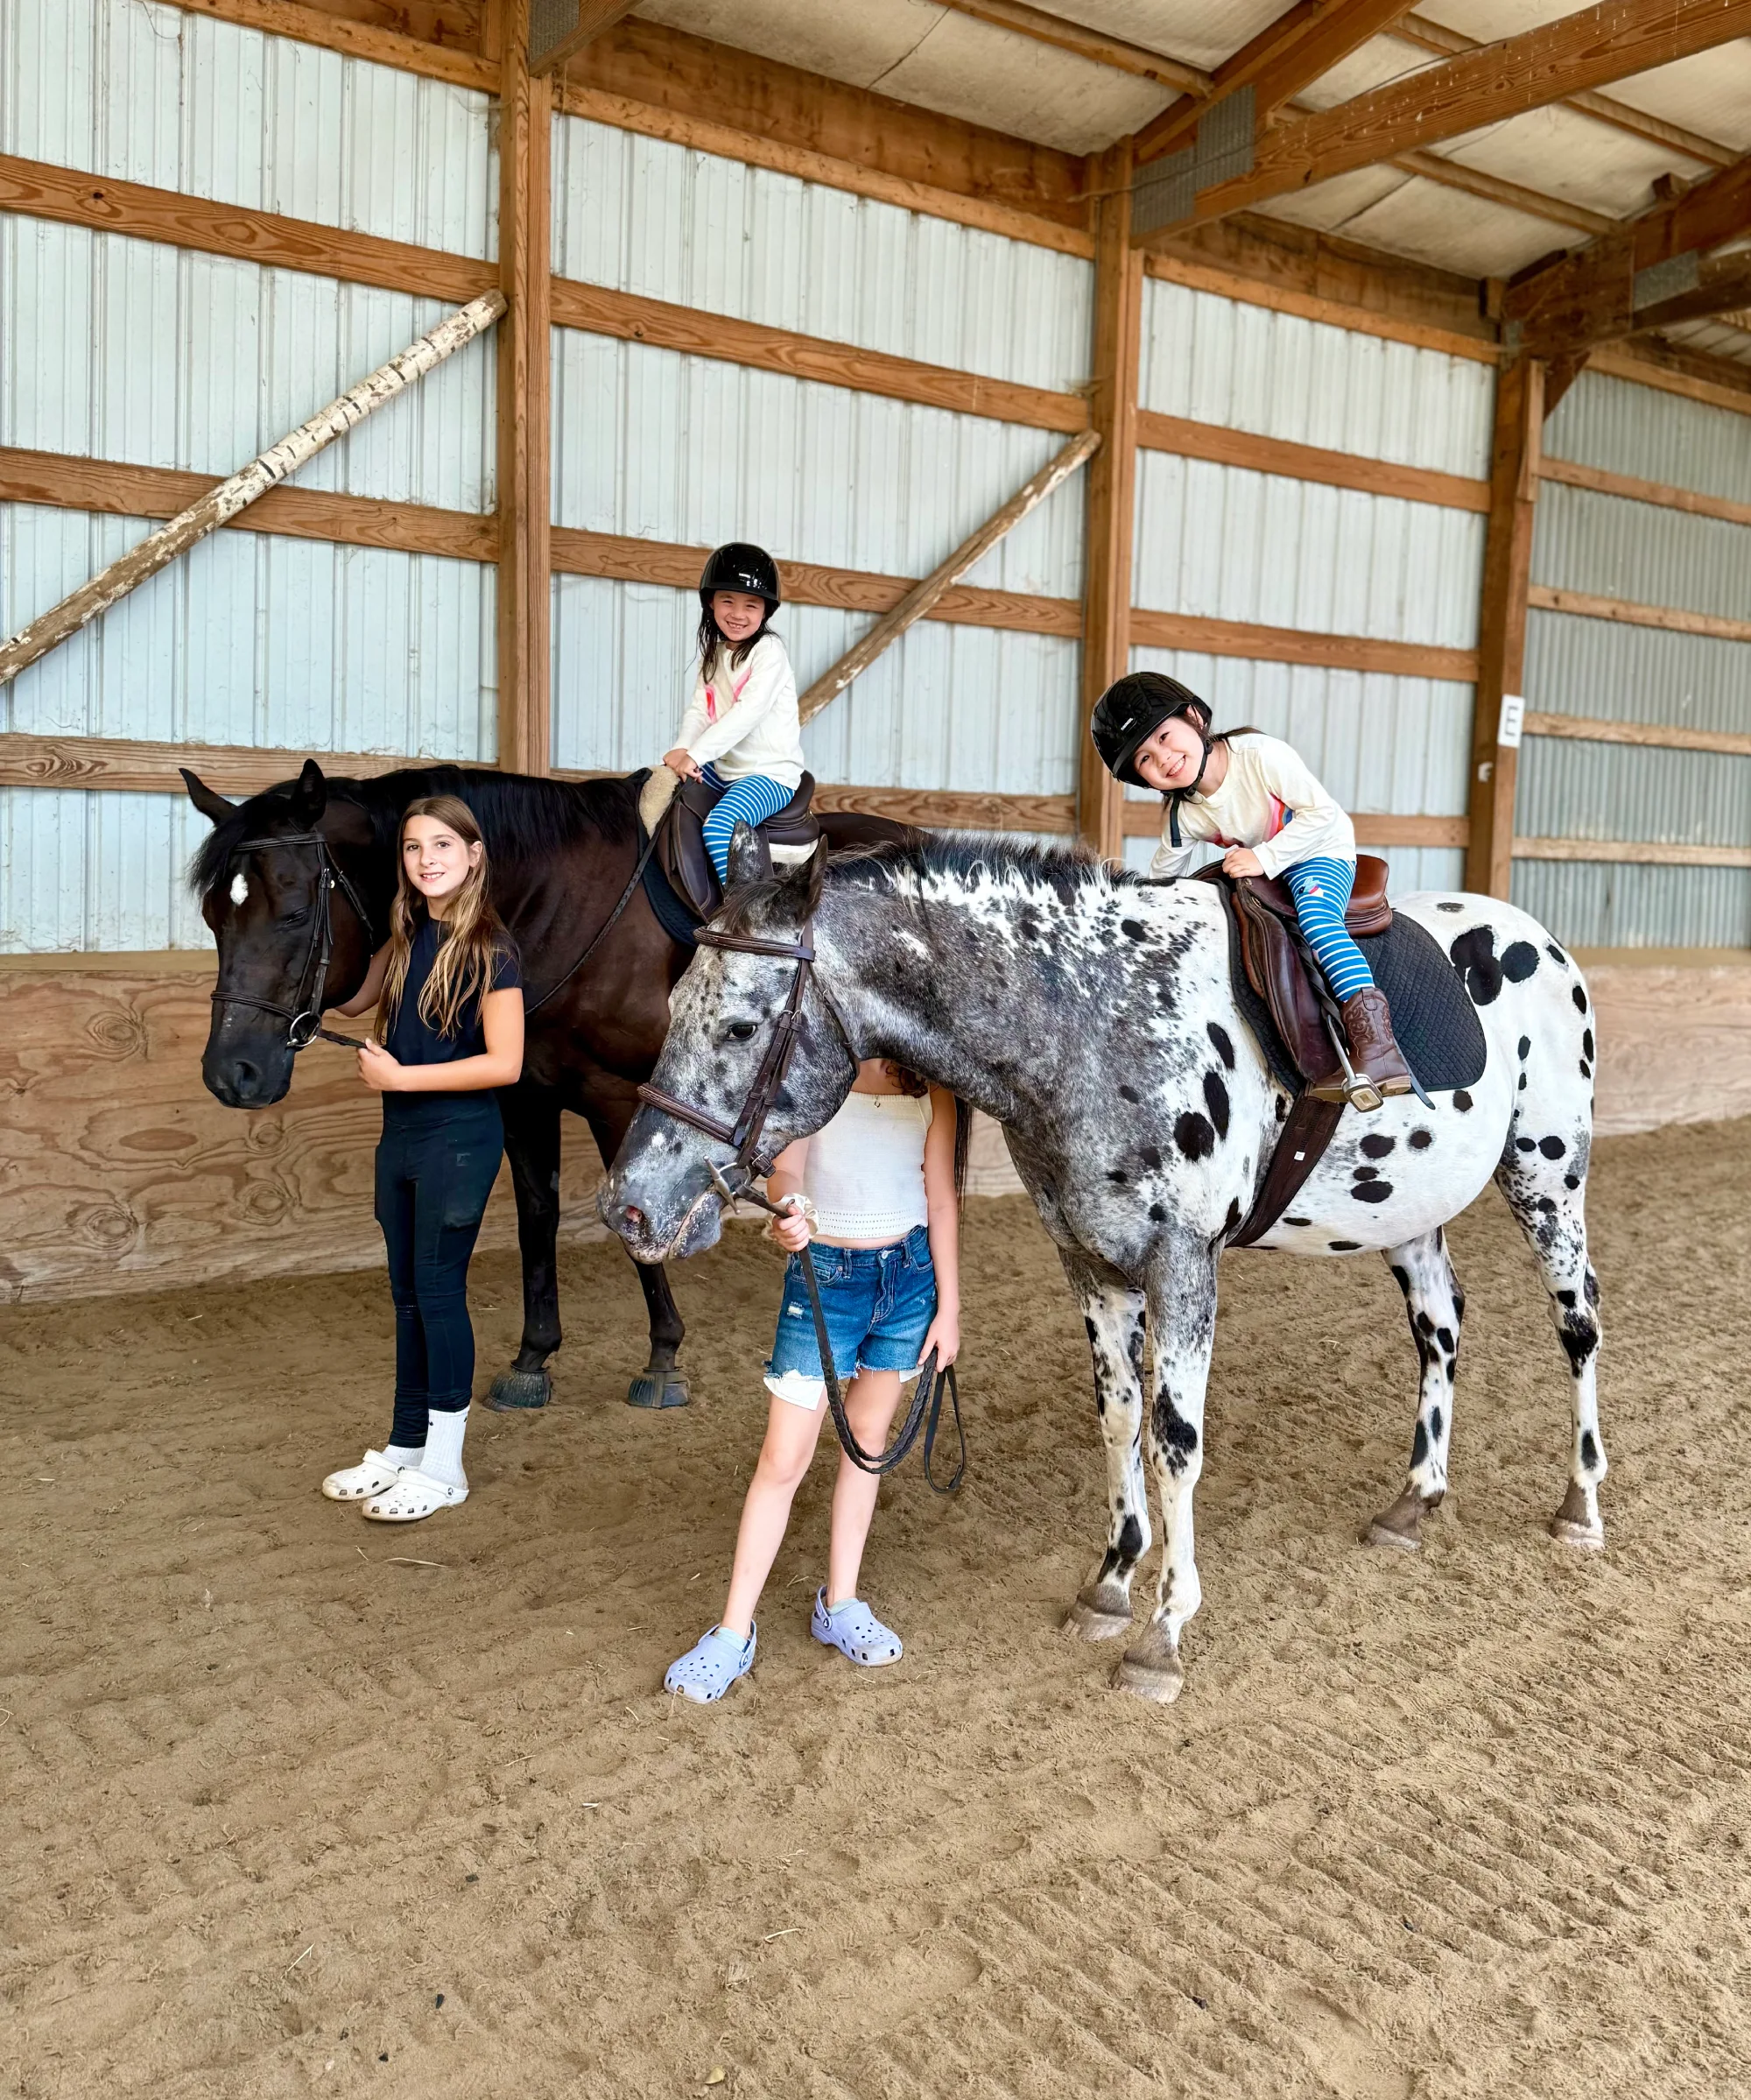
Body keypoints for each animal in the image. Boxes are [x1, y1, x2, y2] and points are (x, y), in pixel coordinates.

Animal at [182, 756, 902, 1411]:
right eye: (214, 916)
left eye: (294, 913)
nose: (230, 1073)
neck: (558, 905)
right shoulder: (524, 1095)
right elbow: (538, 1217)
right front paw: (534, 1356)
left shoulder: (618, 1099)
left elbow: (633, 1221)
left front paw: (663, 1357)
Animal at [600, 827, 1605, 1705]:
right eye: (674, 1007)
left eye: (740, 1027)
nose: (628, 1206)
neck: (1096, 1020)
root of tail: (1538, 937)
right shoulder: (1090, 1262)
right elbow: (1118, 1418)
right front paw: (1113, 1581)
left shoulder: (1183, 1266)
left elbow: (1174, 1444)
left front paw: (1163, 1634)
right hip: (1409, 1212)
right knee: (1440, 1327)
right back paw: (1416, 1497)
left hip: (1547, 1175)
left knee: (1578, 1324)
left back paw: (1580, 1506)